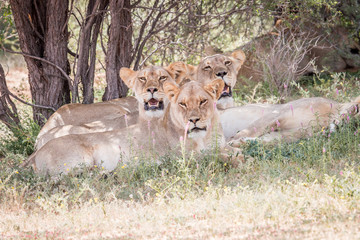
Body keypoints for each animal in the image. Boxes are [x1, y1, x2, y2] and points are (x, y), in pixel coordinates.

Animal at [22, 79, 226, 175]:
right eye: (182, 104)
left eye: (203, 101)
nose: (194, 120)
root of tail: (35, 153)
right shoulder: (188, 157)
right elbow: (222, 156)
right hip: (80, 159)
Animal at [222, 95, 360, 146]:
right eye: (357, 109)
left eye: (356, 127)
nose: (345, 124)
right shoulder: (279, 112)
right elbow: (252, 130)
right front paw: (230, 142)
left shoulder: (291, 134)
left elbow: (266, 141)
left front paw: (239, 143)